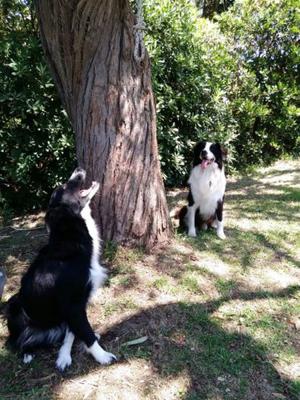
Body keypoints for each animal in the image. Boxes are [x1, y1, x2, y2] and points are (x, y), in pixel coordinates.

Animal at [6, 167, 116, 370]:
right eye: (64, 187)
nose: (79, 169)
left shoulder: (78, 303)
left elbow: (72, 333)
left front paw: (64, 356)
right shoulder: (73, 305)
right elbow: (85, 332)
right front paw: (102, 356)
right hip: (14, 305)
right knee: (16, 340)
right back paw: (27, 352)